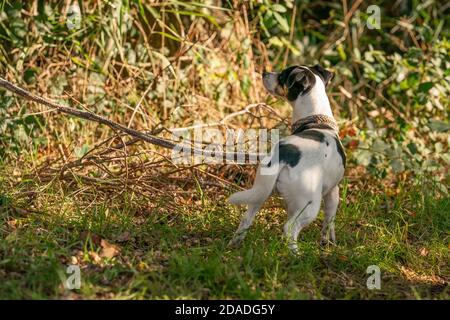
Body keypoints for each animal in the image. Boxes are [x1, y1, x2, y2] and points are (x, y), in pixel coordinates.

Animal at [230, 64, 346, 252]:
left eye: (282, 76)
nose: (264, 72)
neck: (318, 122)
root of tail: (283, 155)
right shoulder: (333, 192)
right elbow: (329, 222)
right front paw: (328, 244)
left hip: (260, 193)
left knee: (247, 219)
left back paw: (235, 244)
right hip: (310, 205)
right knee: (290, 229)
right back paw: (296, 254)